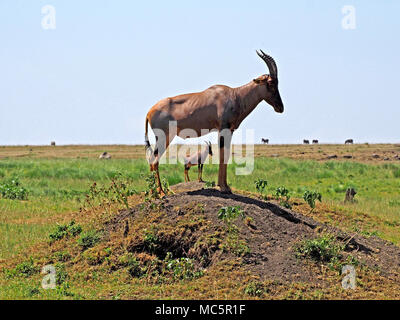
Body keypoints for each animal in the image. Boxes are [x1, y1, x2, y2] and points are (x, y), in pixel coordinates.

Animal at [145, 50, 284, 195]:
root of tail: (149, 112)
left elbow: (226, 154)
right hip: (165, 136)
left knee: (151, 161)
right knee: (154, 161)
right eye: (271, 83)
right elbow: (223, 155)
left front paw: (225, 186)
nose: (280, 107)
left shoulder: (229, 130)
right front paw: (223, 187)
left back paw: (154, 191)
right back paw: (160, 192)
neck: (235, 95)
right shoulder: (223, 129)